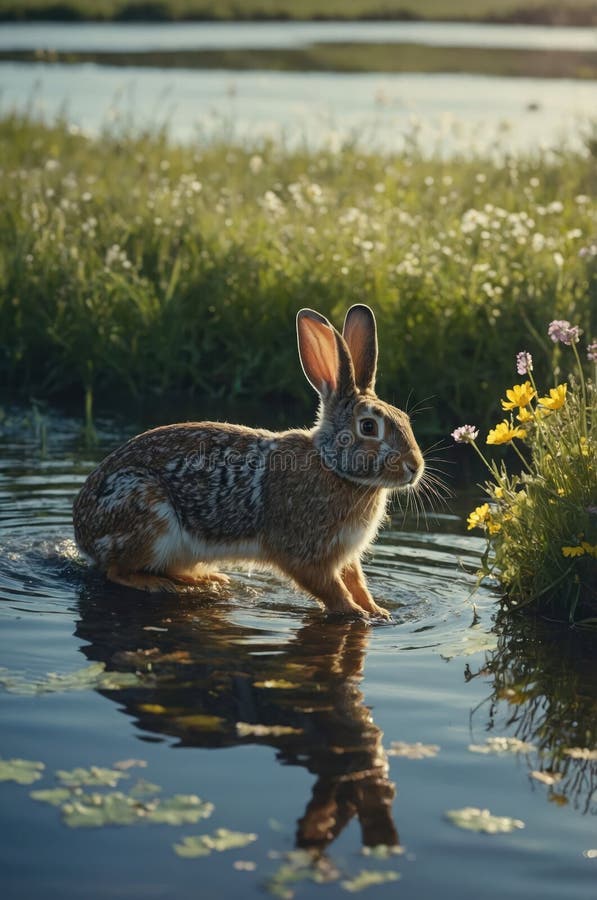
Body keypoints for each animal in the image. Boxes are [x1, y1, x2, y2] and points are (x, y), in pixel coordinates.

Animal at [73, 304, 424, 619]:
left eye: (405, 419)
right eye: (369, 427)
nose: (415, 467)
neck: (334, 467)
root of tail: (83, 534)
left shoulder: (345, 555)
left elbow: (356, 581)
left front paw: (377, 611)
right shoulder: (305, 552)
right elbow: (328, 586)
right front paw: (355, 613)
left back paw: (208, 577)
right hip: (146, 513)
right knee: (115, 570)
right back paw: (158, 584)